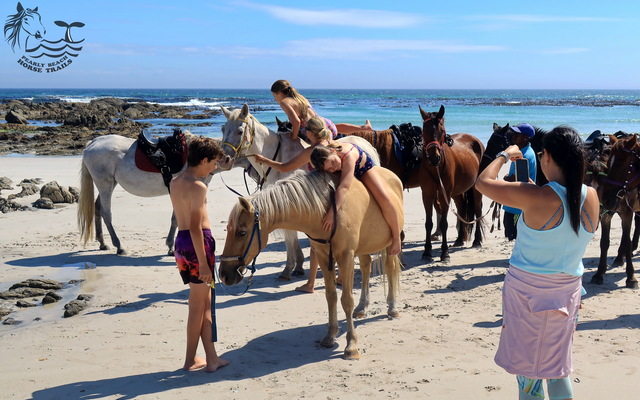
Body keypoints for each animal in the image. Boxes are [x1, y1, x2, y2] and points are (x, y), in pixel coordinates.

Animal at [77, 132, 233, 255]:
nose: (228, 160)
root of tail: (92, 143)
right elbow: (178, 218)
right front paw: (172, 247)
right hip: (105, 184)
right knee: (106, 213)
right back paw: (119, 246)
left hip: (109, 184)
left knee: (97, 207)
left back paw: (103, 243)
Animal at [218, 169, 403, 360]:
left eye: (241, 232)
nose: (224, 274)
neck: (327, 209)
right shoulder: (323, 257)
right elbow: (331, 296)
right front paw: (330, 336)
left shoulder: (346, 257)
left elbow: (346, 300)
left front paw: (351, 345)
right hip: (365, 246)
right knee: (366, 267)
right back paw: (362, 308)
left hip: (390, 243)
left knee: (389, 268)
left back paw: (392, 307)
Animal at [219, 104, 380, 280]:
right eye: (223, 129)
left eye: (240, 131)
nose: (224, 159)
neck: (278, 158)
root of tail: (366, 144)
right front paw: (297, 266)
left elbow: (290, 234)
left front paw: (289, 268)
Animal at [419, 105, 485, 262]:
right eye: (424, 130)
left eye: (442, 130)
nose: (434, 157)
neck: (436, 168)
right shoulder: (427, 194)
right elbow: (428, 223)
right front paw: (427, 251)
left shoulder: (445, 196)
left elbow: (443, 223)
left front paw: (445, 253)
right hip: (457, 192)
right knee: (461, 209)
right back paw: (459, 239)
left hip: (475, 189)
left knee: (478, 210)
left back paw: (477, 241)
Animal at [591, 134, 640, 289]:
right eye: (608, 165)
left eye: (620, 163)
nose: (604, 200)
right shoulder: (606, 215)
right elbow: (604, 242)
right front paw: (599, 273)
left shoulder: (627, 213)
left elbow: (626, 241)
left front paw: (631, 277)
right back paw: (620, 256)